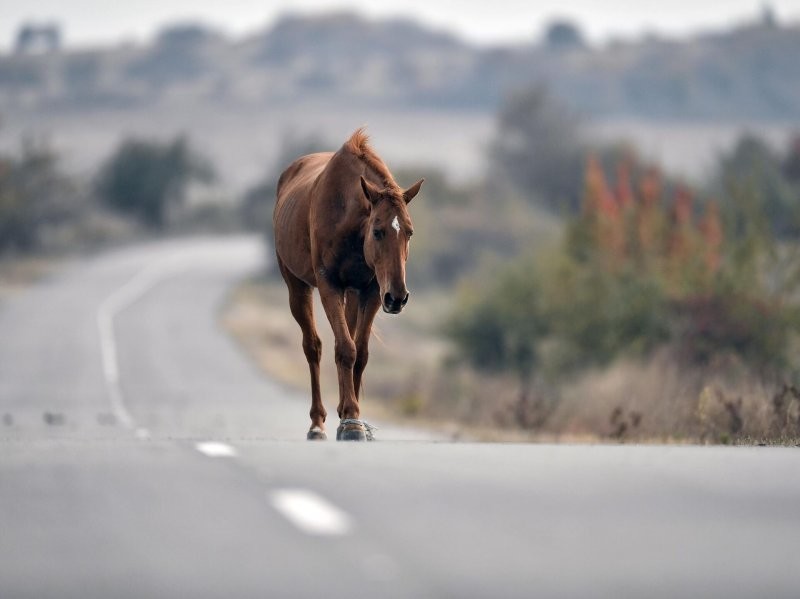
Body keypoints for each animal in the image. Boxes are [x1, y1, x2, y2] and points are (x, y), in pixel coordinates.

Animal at [274, 129, 424, 440]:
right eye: (378, 231)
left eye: (410, 232)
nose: (398, 297)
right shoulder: (329, 285)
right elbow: (345, 348)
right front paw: (351, 420)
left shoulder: (372, 291)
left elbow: (360, 352)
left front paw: (352, 417)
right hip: (297, 286)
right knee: (313, 347)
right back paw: (317, 423)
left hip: (354, 294)